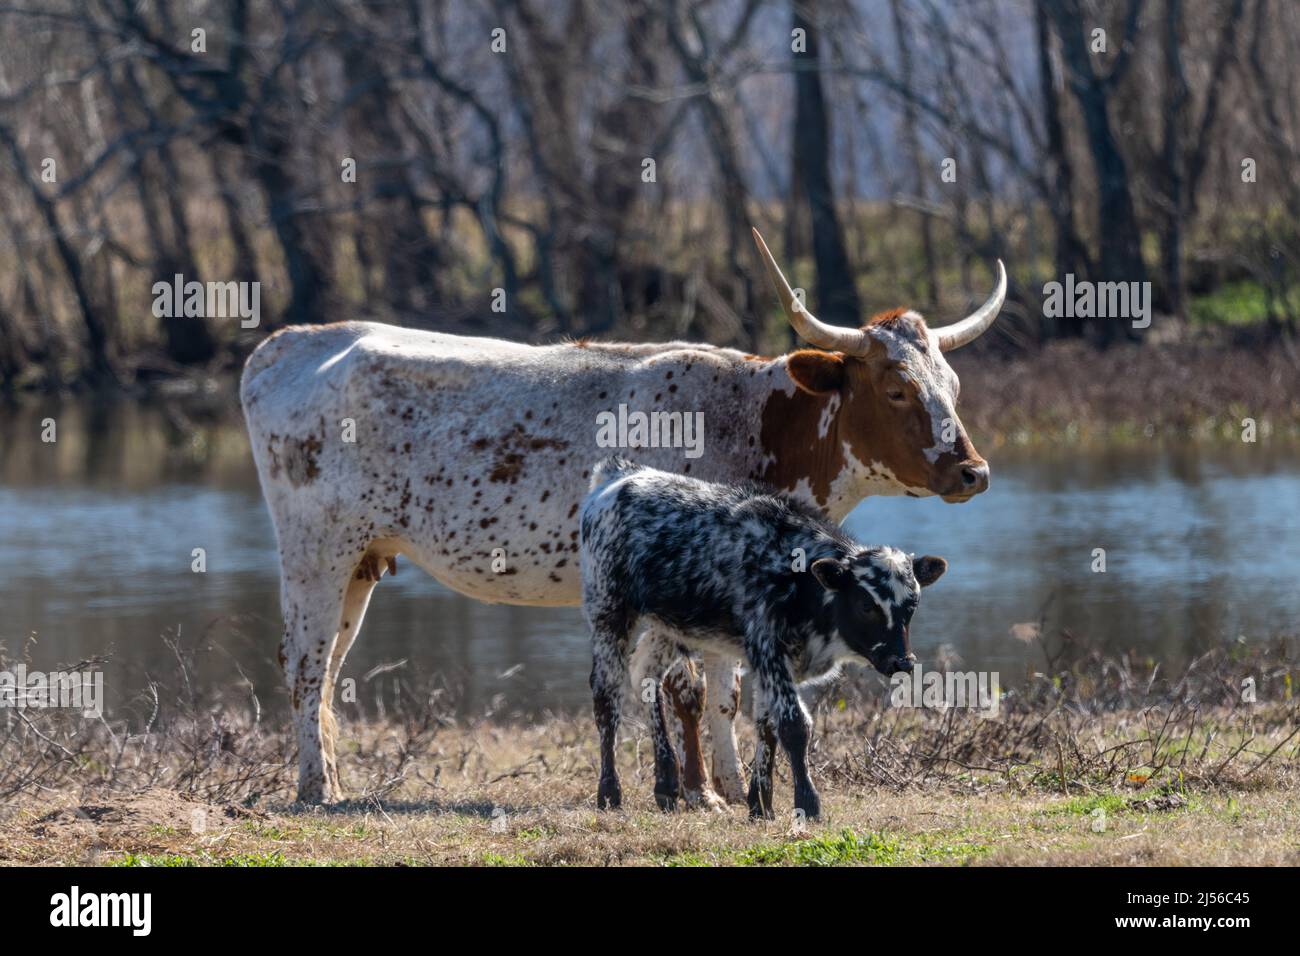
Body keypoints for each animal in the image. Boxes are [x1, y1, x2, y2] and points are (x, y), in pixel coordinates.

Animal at [580, 455, 947, 818]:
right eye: (866, 605)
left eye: (912, 604)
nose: (902, 661)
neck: (797, 577)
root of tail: (620, 474)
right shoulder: (767, 648)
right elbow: (794, 724)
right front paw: (807, 803)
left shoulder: (777, 662)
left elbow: (767, 725)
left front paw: (760, 803)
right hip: (608, 611)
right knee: (606, 698)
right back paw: (610, 793)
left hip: (674, 627)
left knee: (646, 673)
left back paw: (667, 783)